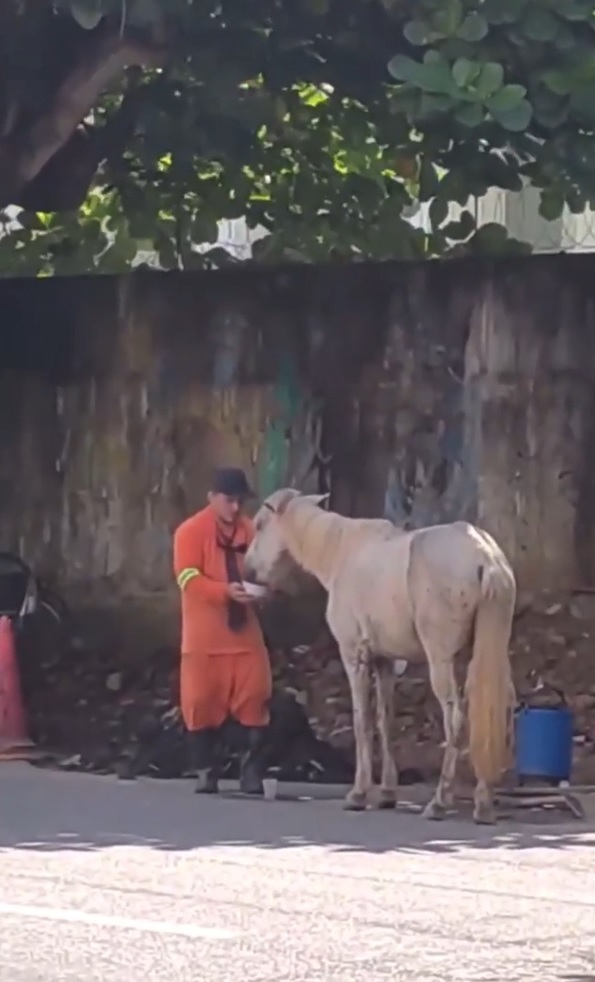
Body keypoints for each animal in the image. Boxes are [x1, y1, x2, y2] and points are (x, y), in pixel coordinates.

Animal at [246, 490, 516, 824]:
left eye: (259, 525)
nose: (248, 568)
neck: (340, 551)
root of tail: (485, 558)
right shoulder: (385, 662)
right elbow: (385, 721)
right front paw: (387, 792)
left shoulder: (354, 655)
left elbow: (362, 721)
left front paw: (359, 794)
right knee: (496, 709)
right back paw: (483, 802)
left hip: (441, 659)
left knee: (454, 717)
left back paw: (440, 802)